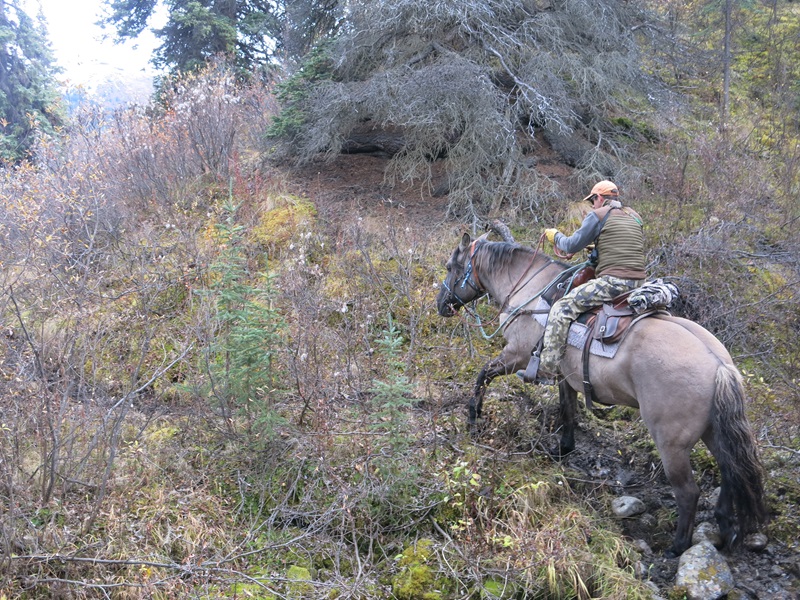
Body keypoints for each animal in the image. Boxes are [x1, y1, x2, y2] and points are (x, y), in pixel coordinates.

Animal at [436, 232, 767, 557]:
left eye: (451, 266)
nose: (441, 305)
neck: (531, 287)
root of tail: (719, 364)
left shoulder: (516, 355)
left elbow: (483, 375)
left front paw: (473, 419)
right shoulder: (566, 376)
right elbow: (567, 410)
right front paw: (562, 449)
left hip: (671, 443)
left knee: (688, 492)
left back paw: (677, 547)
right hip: (713, 431)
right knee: (729, 470)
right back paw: (726, 529)